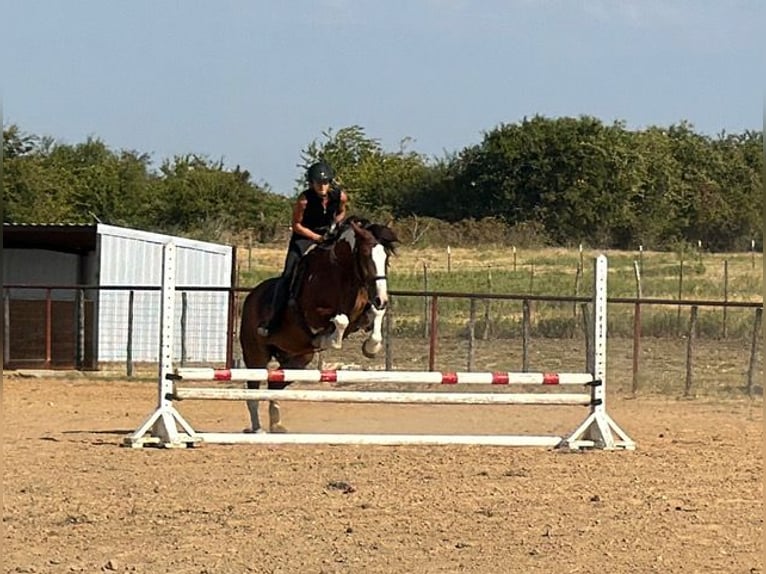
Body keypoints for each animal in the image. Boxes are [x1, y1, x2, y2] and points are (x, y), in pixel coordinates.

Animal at [239, 216, 399, 433]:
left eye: (386, 258)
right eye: (366, 256)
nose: (382, 299)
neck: (341, 275)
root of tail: (250, 297)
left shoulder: (362, 314)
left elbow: (373, 315)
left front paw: (371, 348)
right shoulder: (312, 314)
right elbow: (340, 320)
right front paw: (328, 340)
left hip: (298, 359)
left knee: (274, 384)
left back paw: (277, 424)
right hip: (256, 354)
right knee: (253, 390)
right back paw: (257, 429)